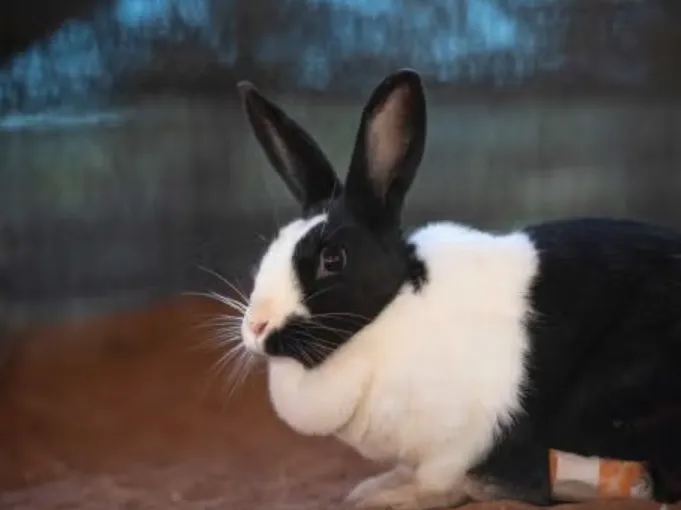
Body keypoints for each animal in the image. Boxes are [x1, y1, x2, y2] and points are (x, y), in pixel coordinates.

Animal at [235, 69, 681, 509]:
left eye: (332, 260)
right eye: (272, 246)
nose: (256, 327)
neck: (389, 316)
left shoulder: (463, 444)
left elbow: (446, 483)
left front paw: (389, 495)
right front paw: (375, 485)